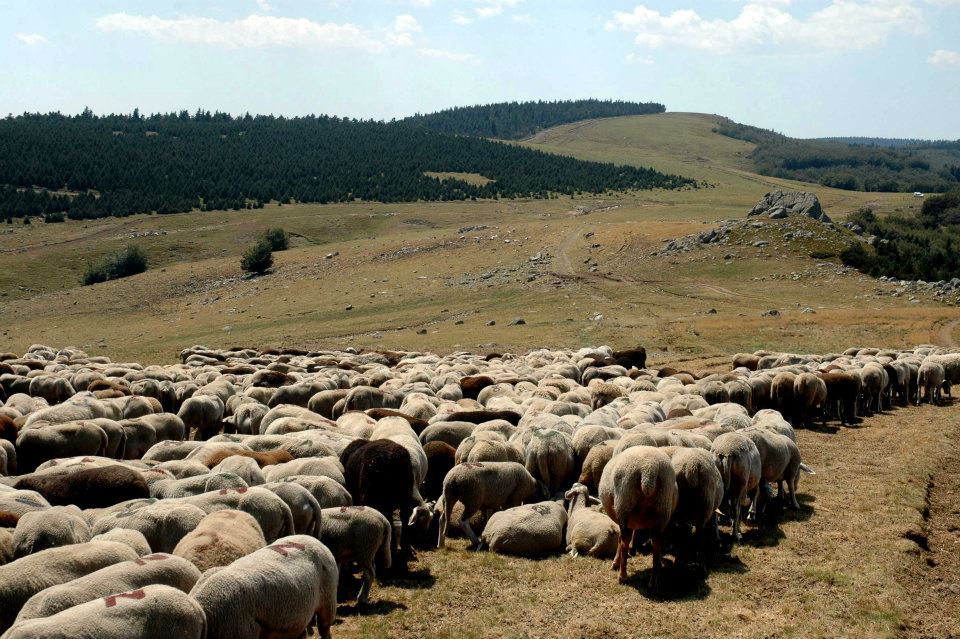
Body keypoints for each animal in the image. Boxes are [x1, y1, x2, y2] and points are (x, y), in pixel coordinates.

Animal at [598, 446, 678, 587]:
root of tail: (648, 470)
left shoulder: (623, 520)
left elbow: (620, 539)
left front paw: (615, 563)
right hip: (662, 508)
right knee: (656, 544)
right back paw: (653, 581)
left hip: (624, 503)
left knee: (624, 542)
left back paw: (622, 576)